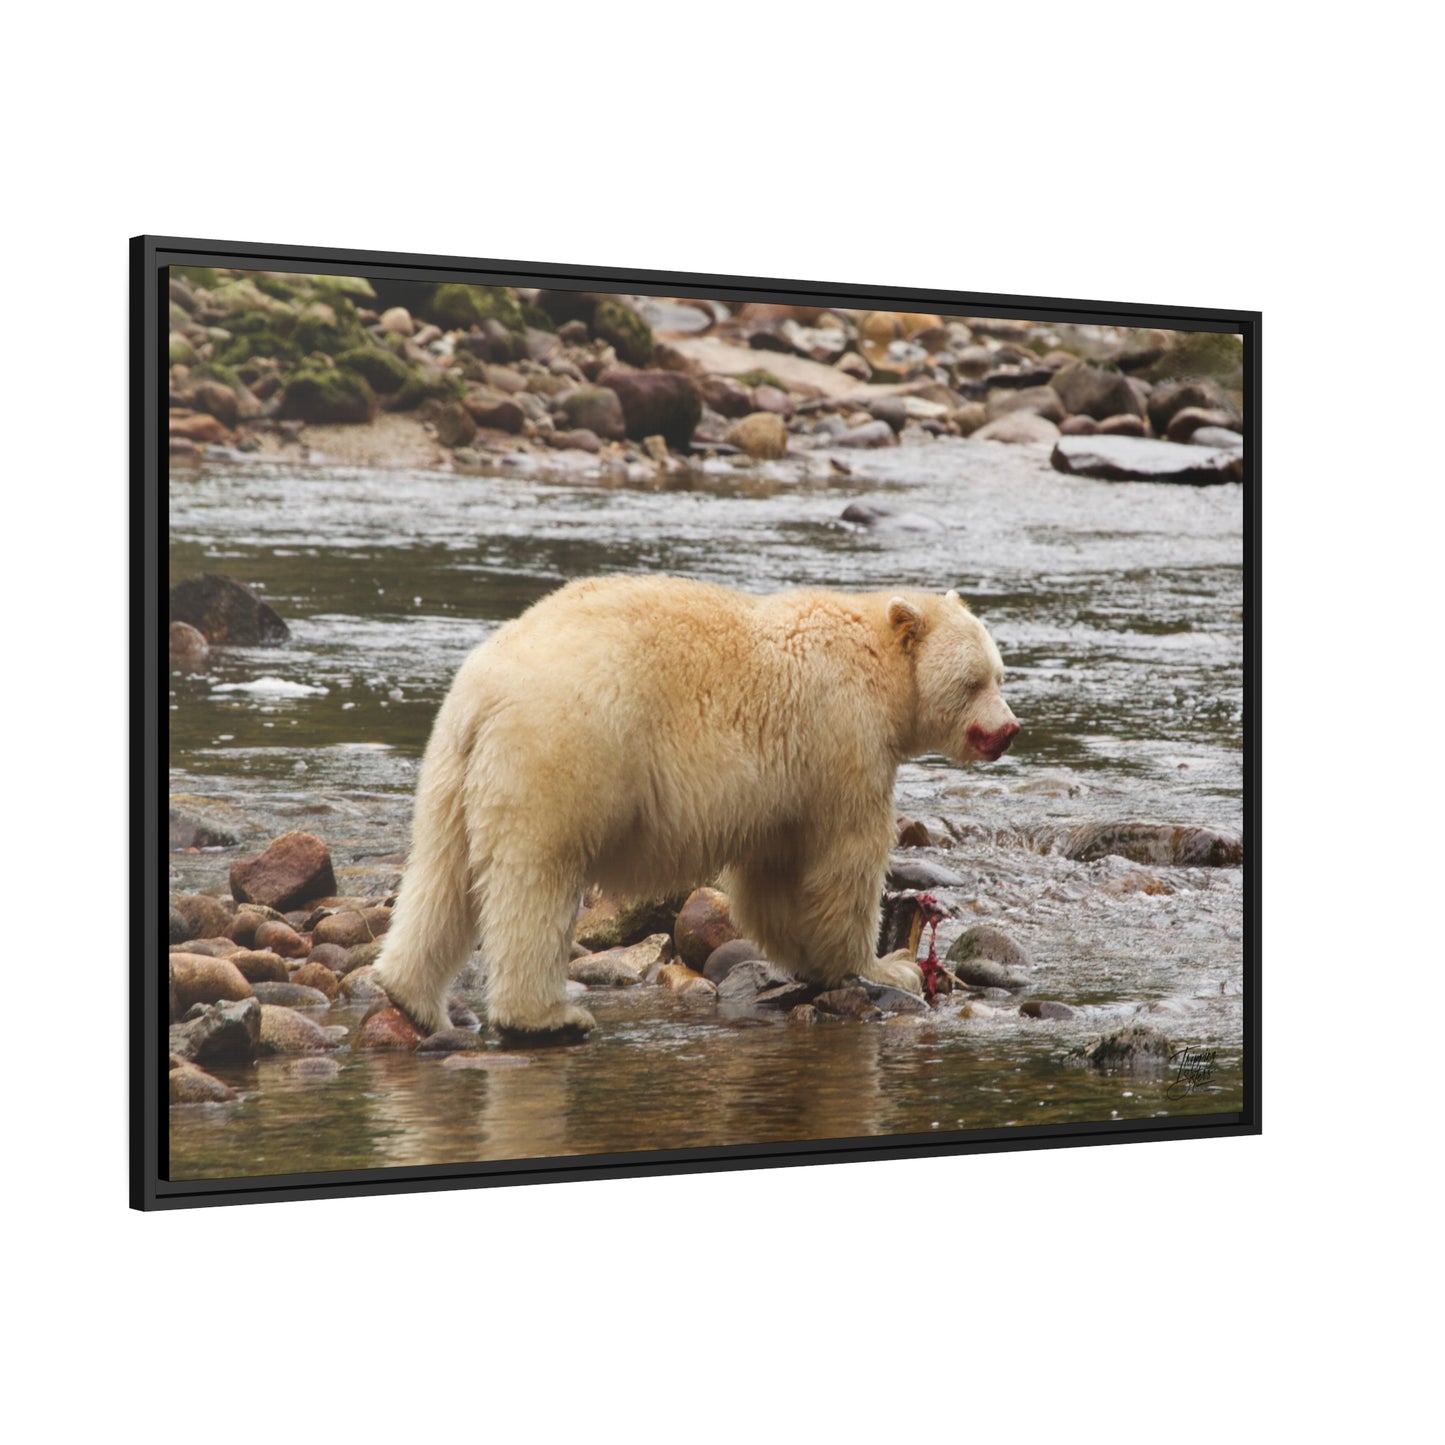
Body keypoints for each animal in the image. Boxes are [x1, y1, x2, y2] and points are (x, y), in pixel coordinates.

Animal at [372, 576, 1019, 1040]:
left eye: (1000, 673)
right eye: (973, 681)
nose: (1009, 729)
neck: (876, 668)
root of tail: (486, 690)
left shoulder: (785, 781)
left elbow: (774, 874)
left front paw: (804, 957)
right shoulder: (841, 738)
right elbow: (843, 858)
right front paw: (885, 967)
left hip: (455, 766)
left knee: (443, 872)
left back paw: (413, 998)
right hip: (563, 749)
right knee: (536, 877)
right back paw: (545, 1017)